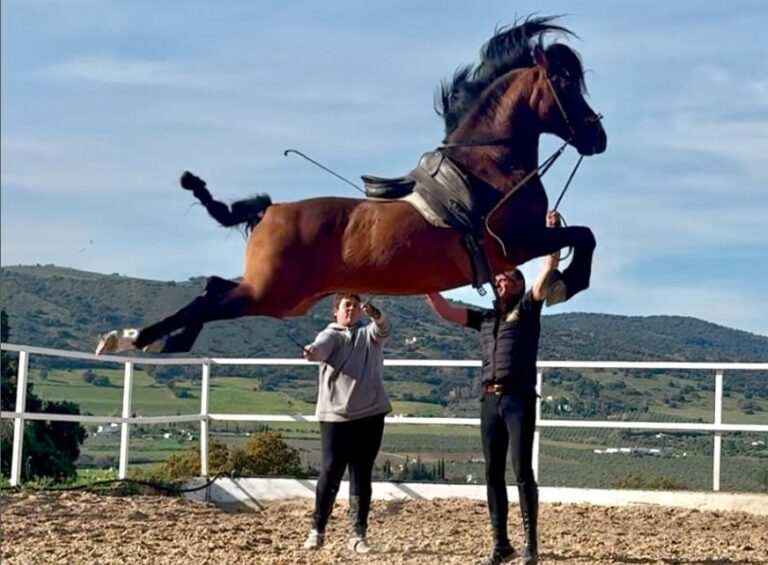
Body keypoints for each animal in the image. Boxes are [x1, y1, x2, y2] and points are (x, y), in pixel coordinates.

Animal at [99, 16, 607, 355]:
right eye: (565, 81)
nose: (597, 138)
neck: (489, 165)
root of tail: (269, 210)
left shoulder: (522, 244)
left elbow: (582, 234)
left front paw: (561, 282)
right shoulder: (517, 242)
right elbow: (583, 235)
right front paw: (565, 283)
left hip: (282, 297)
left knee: (212, 287)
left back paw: (165, 342)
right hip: (269, 293)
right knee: (208, 301)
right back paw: (133, 339)